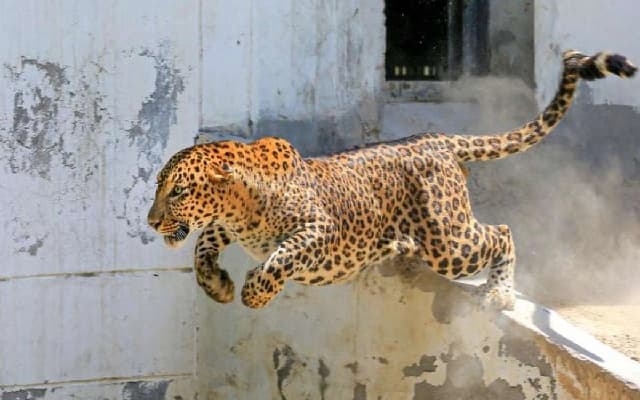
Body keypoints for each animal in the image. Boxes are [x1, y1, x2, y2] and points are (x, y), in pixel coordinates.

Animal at [147, 50, 636, 310]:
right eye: (159, 186)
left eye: (179, 191)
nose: (151, 221)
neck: (241, 205)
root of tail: (437, 139)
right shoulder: (223, 226)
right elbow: (203, 244)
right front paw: (217, 284)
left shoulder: (319, 228)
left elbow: (281, 255)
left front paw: (254, 291)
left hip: (448, 241)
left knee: (501, 232)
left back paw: (498, 293)